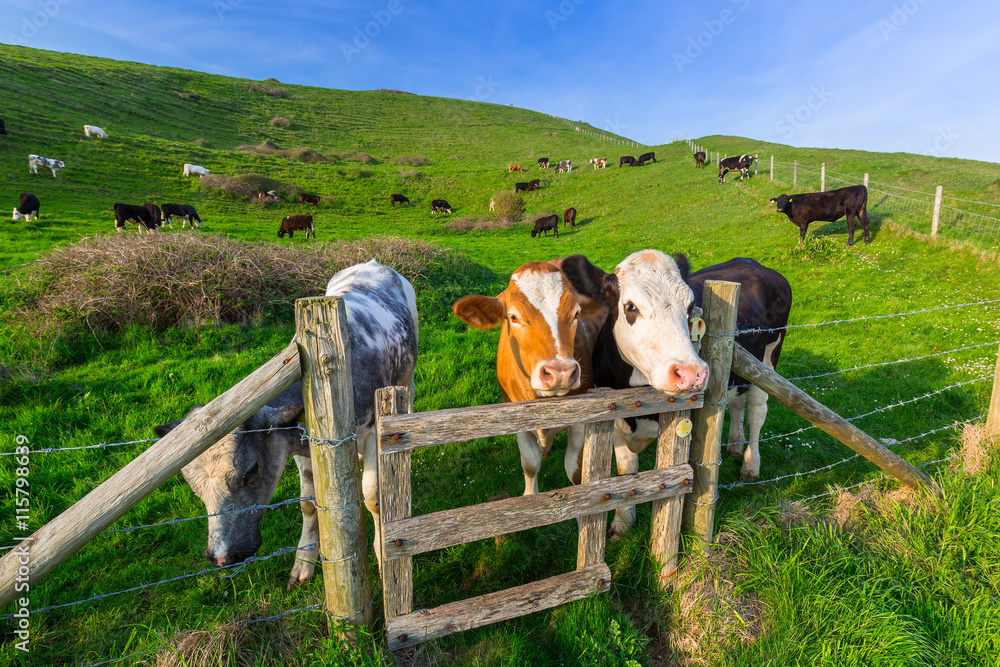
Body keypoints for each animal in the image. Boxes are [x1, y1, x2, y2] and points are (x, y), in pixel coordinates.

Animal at [154, 260, 420, 584]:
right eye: (193, 487)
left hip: (407, 377)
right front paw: (304, 562)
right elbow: (308, 504)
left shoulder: (371, 434)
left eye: (250, 472)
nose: (220, 557)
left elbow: (374, 498)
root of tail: (372, 263)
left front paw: (384, 557)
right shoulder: (300, 445)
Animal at [454, 260, 608, 500]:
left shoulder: (581, 420)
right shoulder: (514, 412)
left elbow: (574, 468)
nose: (560, 372)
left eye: (576, 313)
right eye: (513, 317)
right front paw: (530, 495)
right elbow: (530, 463)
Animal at [564, 250, 712, 536]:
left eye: (690, 307)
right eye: (631, 307)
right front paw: (622, 523)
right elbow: (626, 470)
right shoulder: (615, 419)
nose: (691, 373)